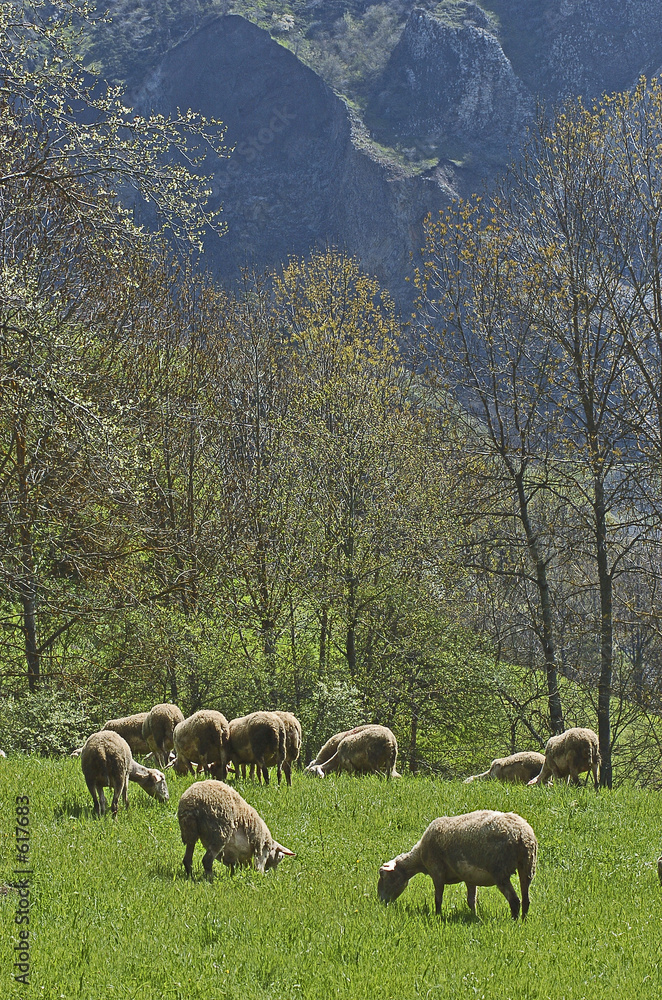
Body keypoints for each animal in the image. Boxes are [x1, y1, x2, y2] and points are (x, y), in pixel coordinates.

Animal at [378, 809, 537, 920]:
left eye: (383, 876)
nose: (381, 901)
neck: (420, 858)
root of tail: (522, 834)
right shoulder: (469, 877)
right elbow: (471, 901)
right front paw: (474, 917)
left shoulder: (436, 870)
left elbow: (438, 898)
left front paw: (438, 915)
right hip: (528, 865)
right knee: (526, 900)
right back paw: (523, 921)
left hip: (500, 870)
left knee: (515, 900)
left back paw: (514, 922)